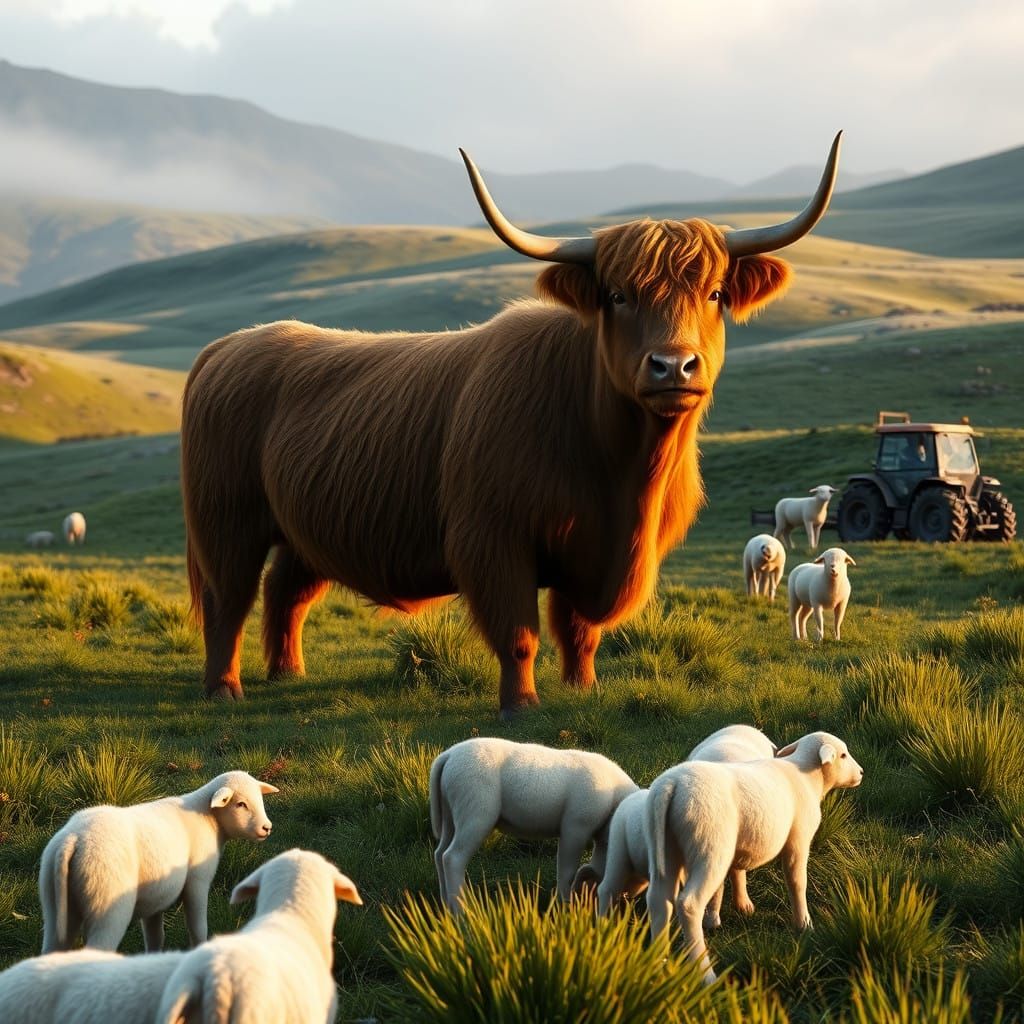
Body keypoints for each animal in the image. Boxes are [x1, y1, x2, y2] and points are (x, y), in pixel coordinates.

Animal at [181, 135, 842, 715]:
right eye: (618, 295)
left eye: (714, 293)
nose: (673, 365)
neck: (622, 473)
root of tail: (229, 346)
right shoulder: (491, 537)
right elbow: (520, 631)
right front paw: (521, 706)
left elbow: (579, 629)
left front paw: (582, 688)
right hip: (226, 519)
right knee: (227, 598)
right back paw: (224, 689)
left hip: (303, 527)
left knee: (285, 593)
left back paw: (287, 674)